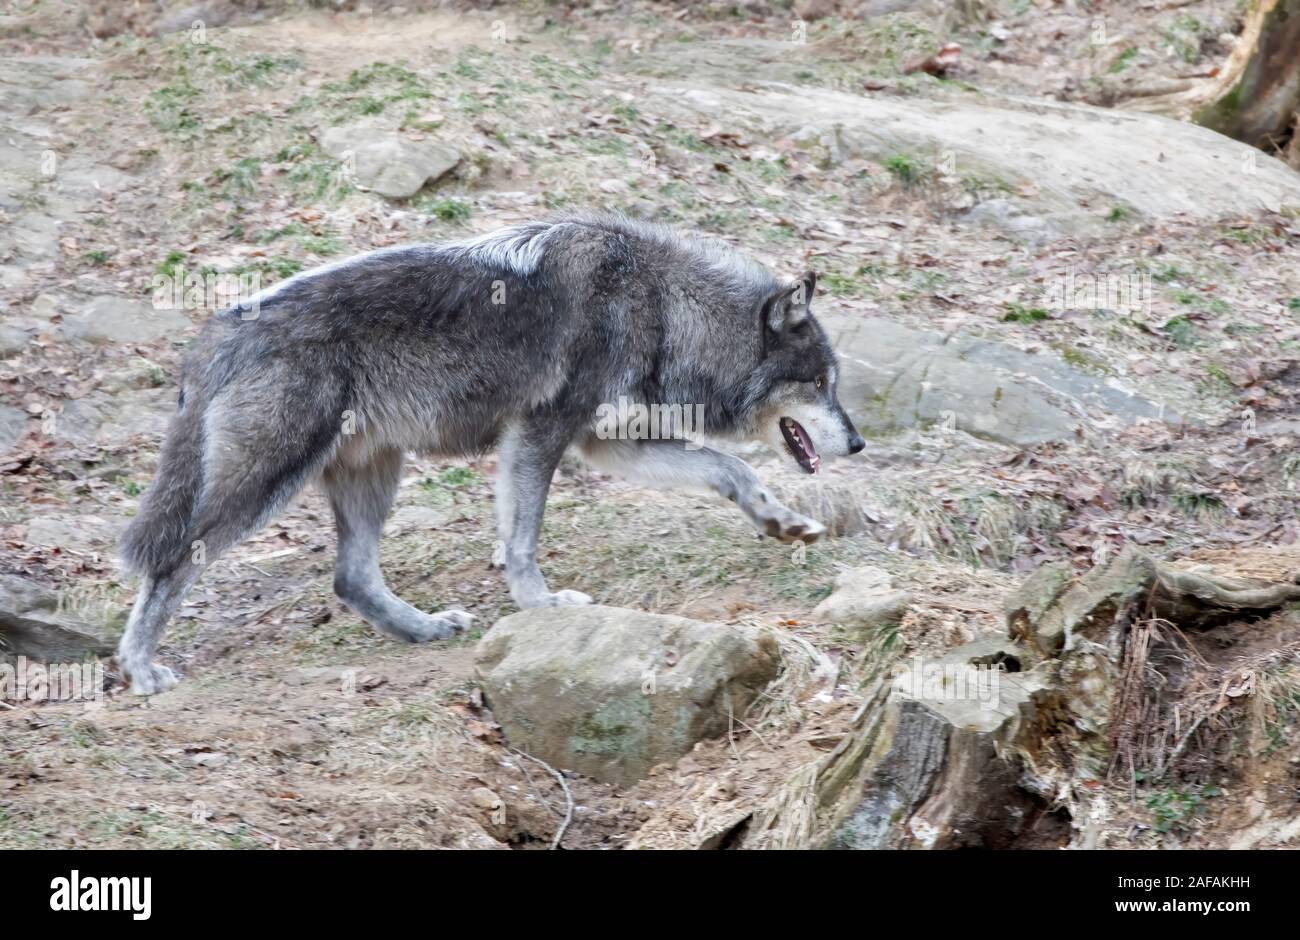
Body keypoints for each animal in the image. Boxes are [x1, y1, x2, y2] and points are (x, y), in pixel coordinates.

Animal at [116, 212, 866, 694]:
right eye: (820, 385)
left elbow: (729, 468)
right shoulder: (541, 432)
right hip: (268, 482)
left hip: (374, 474)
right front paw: (543, 604)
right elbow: (524, 536)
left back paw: (422, 629)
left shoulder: (603, 442)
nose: (858, 441)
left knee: (350, 578)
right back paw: (139, 667)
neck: (661, 303)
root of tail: (214, 334)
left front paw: (780, 521)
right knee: (175, 561)